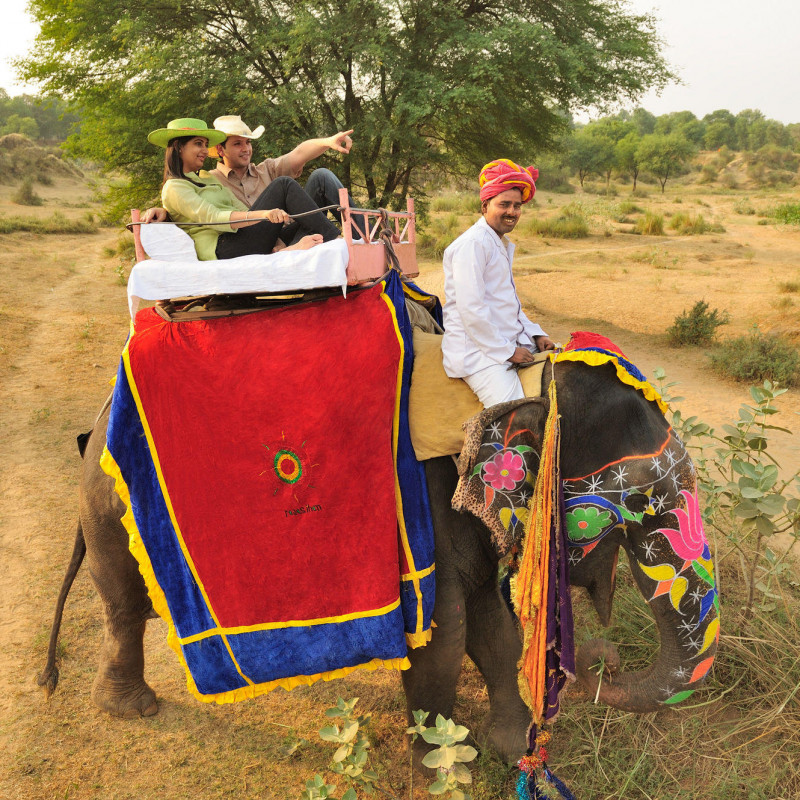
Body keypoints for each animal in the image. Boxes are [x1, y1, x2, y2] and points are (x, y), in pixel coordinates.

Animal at [39, 356, 718, 764]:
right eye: (635, 505)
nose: (600, 665)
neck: (517, 390)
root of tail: (96, 422)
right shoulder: (419, 504)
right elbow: (443, 635)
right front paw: (442, 765)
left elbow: (493, 629)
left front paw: (506, 750)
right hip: (108, 508)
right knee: (123, 604)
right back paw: (133, 708)